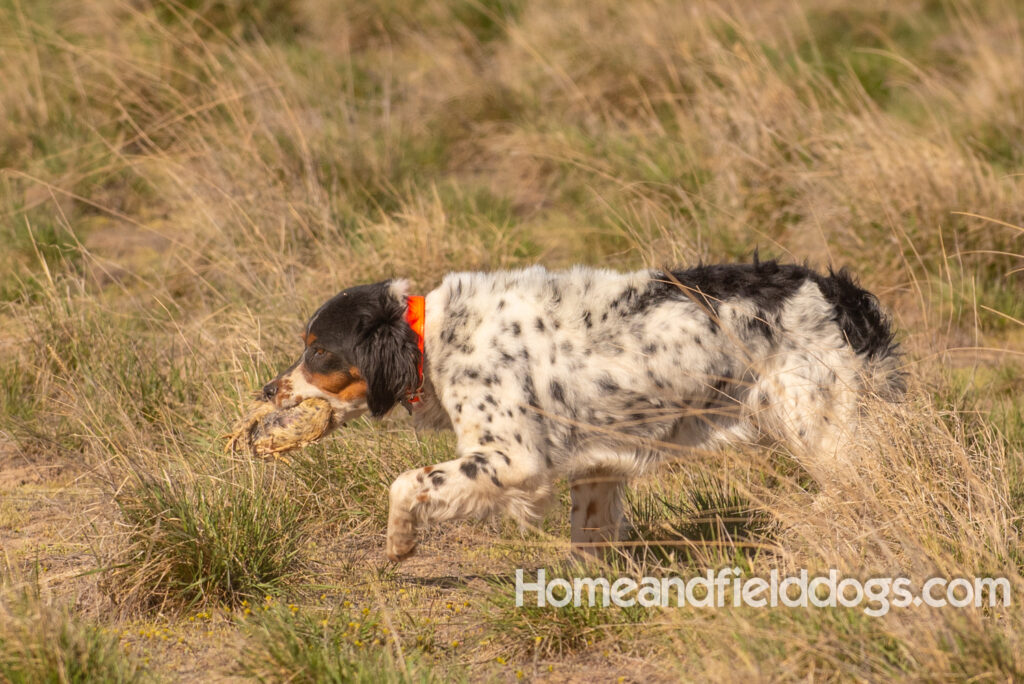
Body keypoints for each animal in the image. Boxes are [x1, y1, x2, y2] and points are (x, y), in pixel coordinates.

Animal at [260, 260, 901, 561]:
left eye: (318, 350)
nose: (268, 391)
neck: (435, 338)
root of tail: (842, 297)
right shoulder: (597, 465)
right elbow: (589, 538)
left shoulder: (513, 458)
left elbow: (406, 483)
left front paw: (400, 543)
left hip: (814, 423)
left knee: (859, 487)